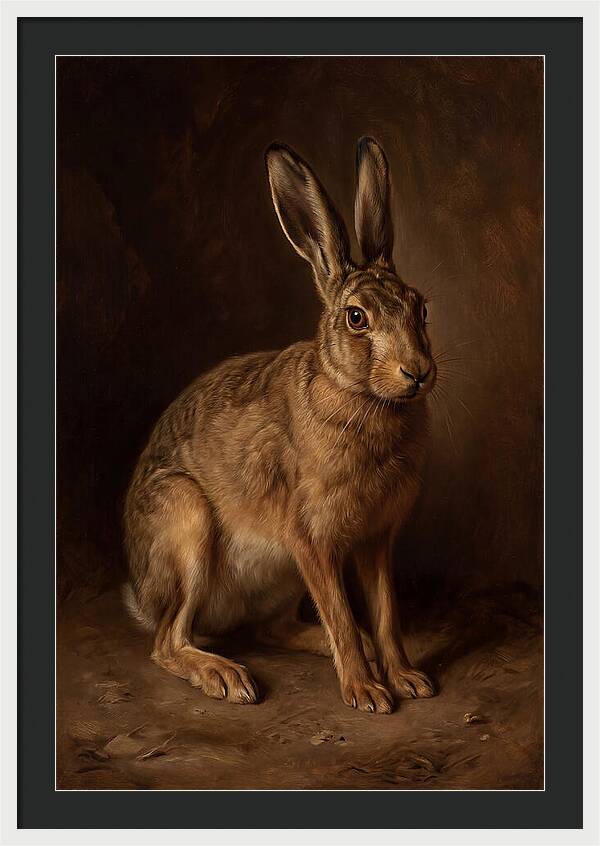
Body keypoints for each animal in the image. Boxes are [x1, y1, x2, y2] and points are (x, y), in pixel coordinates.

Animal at [123, 137, 436, 713]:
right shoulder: (310, 539)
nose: (418, 372)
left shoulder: (375, 540)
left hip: (280, 579)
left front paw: (406, 678)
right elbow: (340, 613)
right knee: (168, 641)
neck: (360, 395)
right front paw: (367, 693)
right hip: (186, 521)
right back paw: (226, 677)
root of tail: (142, 592)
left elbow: (385, 615)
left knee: (273, 630)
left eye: (420, 308)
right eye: (356, 318)